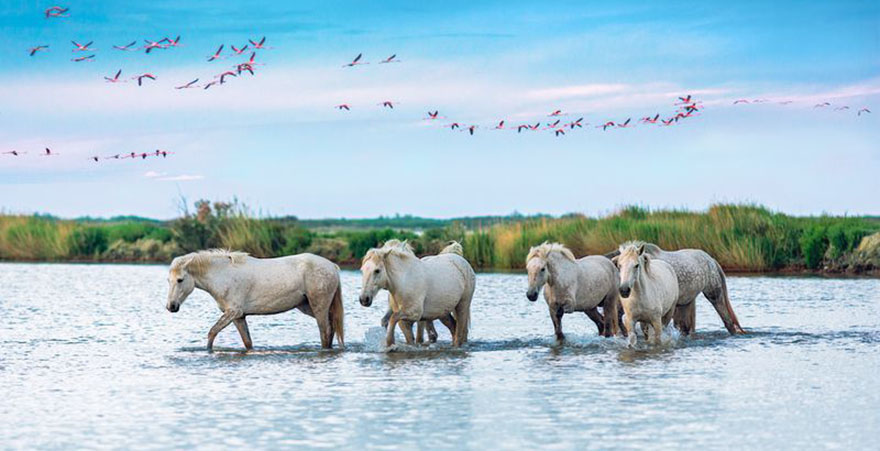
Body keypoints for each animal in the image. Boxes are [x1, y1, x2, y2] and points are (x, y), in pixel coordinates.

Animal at [167, 252, 346, 352]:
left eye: (180, 280)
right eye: (168, 280)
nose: (171, 306)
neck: (222, 275)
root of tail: (332, 266)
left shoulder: (233, 312)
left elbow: (212, 332)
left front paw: (208, 351)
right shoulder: (238, 317)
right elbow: (247, 342)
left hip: (319, 306)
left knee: (325, 331)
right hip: (308, 306)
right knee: (331, 328)